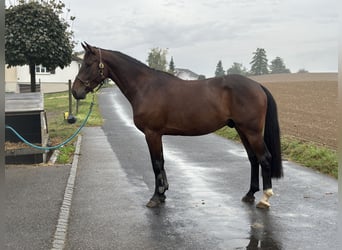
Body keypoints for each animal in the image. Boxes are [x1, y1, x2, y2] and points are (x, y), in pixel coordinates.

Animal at [72, 43, 284, 209]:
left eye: (88, 64)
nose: (75, 91)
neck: (145, 87)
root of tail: (258, 86)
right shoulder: (157, 135)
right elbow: (162, 162)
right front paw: (163, 193)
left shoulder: (152, 134)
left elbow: (156, 163)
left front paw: (156, 197)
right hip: (242, 130)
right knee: (253, 159)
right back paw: (249, 194)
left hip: (252, 131)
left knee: (265, 158)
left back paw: (265, 198)